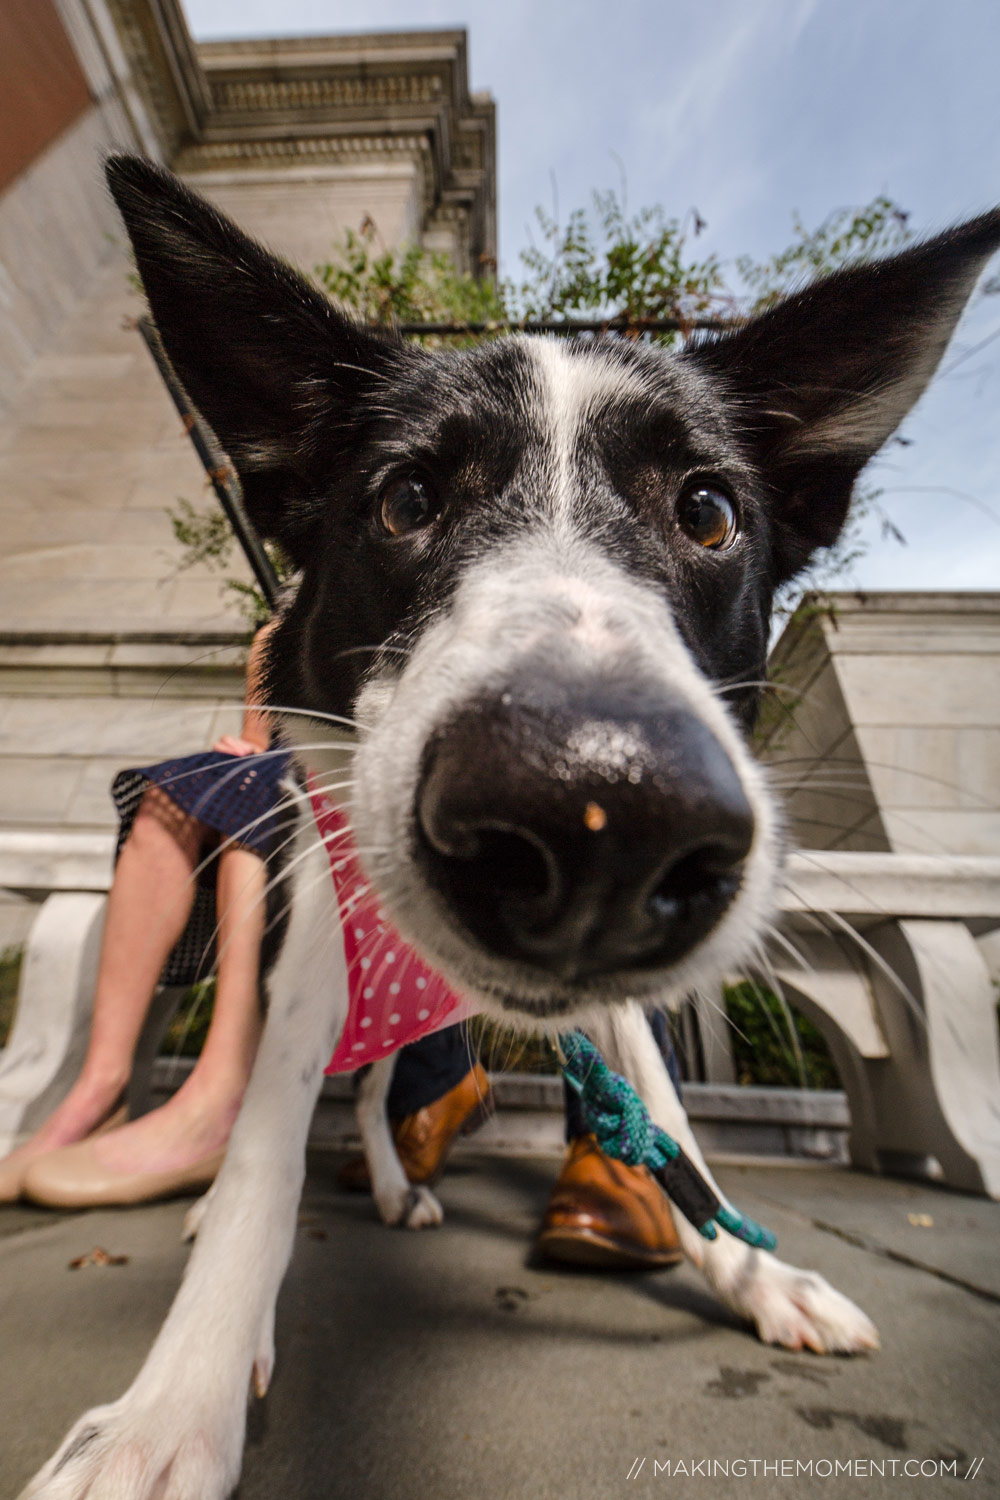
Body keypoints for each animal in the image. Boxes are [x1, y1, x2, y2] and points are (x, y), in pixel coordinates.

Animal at [19, 158, 995, 1494]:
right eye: (405, 500)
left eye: (707, 512)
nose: (597, 811)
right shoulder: (324, 933)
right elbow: (271, 1136)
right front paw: (170, 1411)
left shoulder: (621, 1003)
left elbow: (668, 1124)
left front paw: (754, 1273)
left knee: (382, 1091)